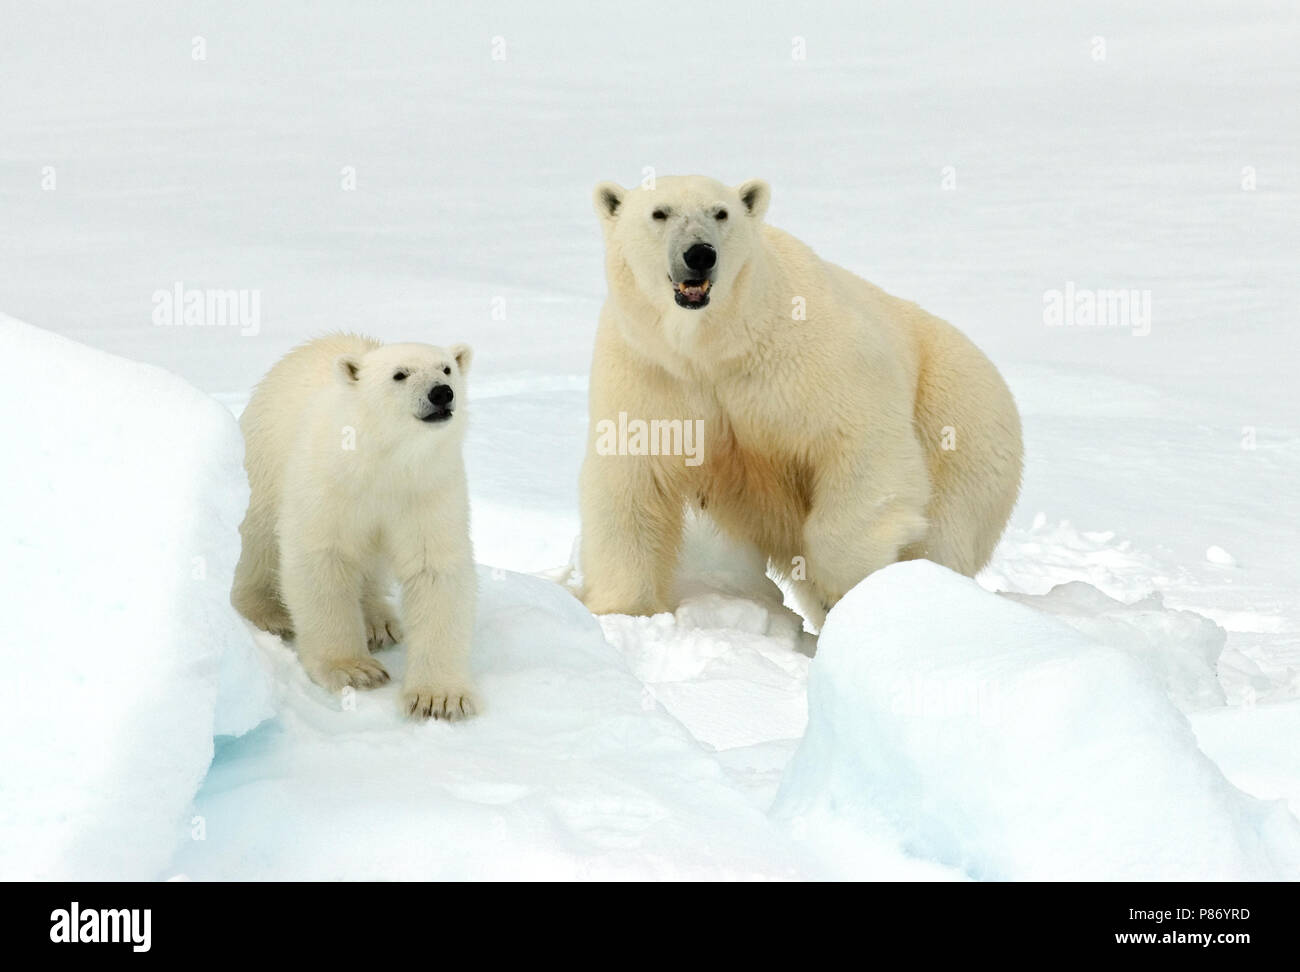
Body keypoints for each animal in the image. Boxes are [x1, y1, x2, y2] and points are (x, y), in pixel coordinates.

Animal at [582, 176, 1024, 623]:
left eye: (721, 213)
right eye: (660, 213)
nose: (700, 254)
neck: (713, 346)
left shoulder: (806, 358)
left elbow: (863, 443)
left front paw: (846, 583)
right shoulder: (651, 372)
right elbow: (633, 481)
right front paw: (623, 610)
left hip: (959, 417)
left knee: (943, 533)